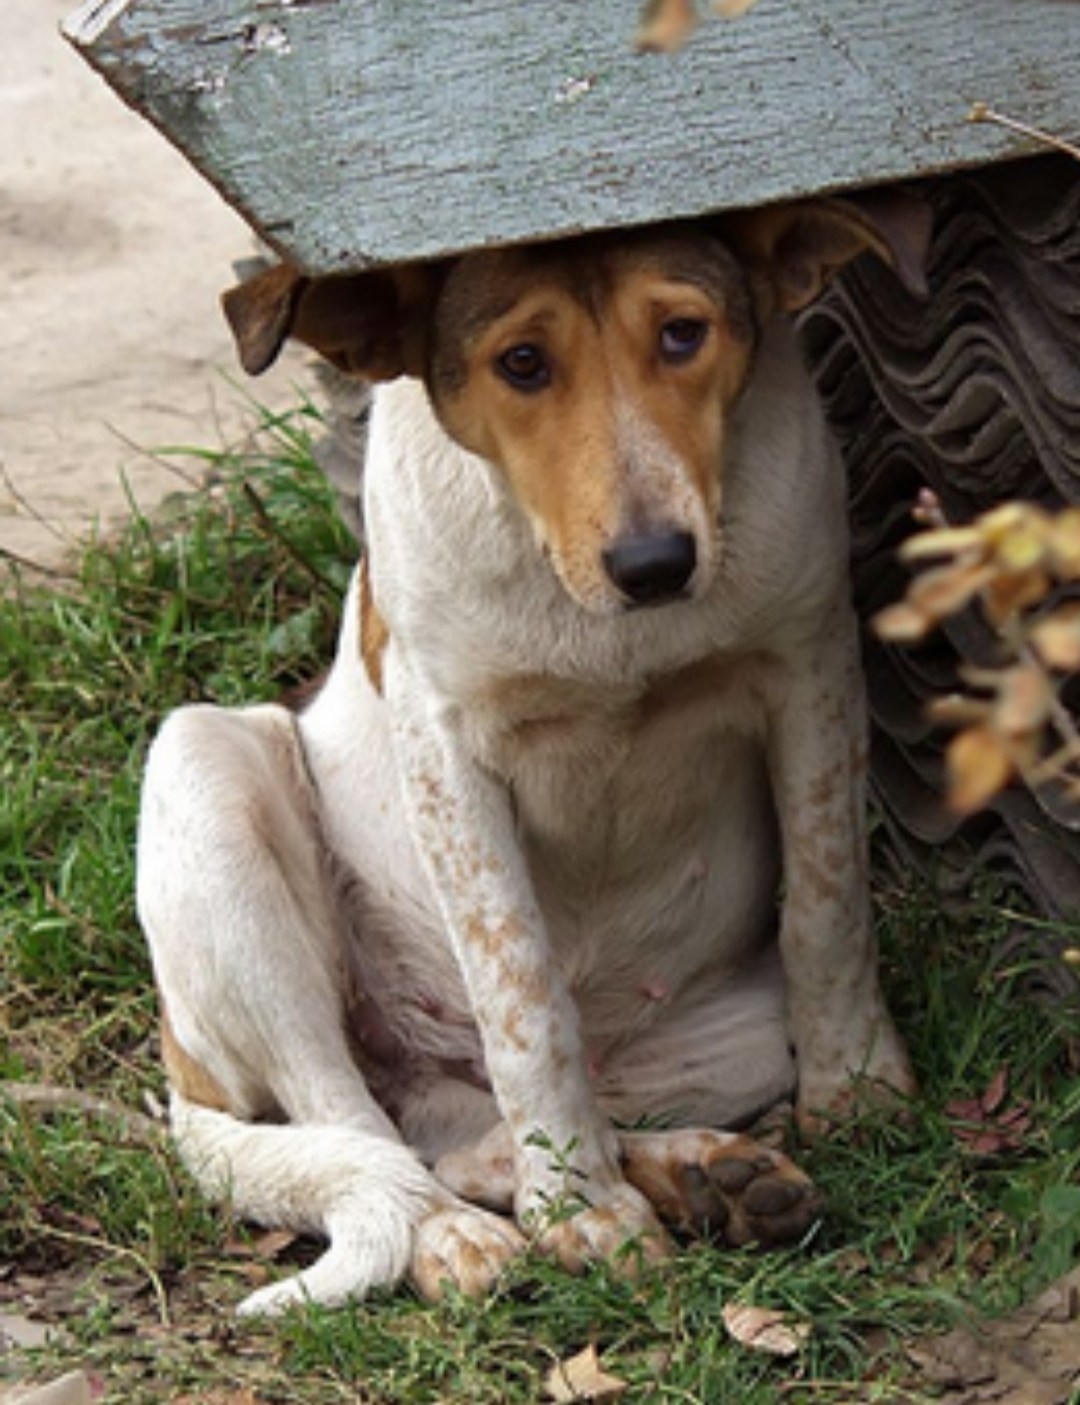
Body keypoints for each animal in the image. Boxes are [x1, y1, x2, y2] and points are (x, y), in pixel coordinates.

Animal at [139, 200, 921, 1315]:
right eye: (520, 362)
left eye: (683, 334)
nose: (654, 564)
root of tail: (183, 1078)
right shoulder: (448, 751)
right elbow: (525, 1001)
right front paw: (582, 1214)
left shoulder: (813, 661)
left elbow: (829, 907)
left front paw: (856, 1083)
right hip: (202, 772)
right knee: (360, 1123)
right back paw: (460, 1232)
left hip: (725, 1046)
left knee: (474, 1130)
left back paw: (701, 1174)